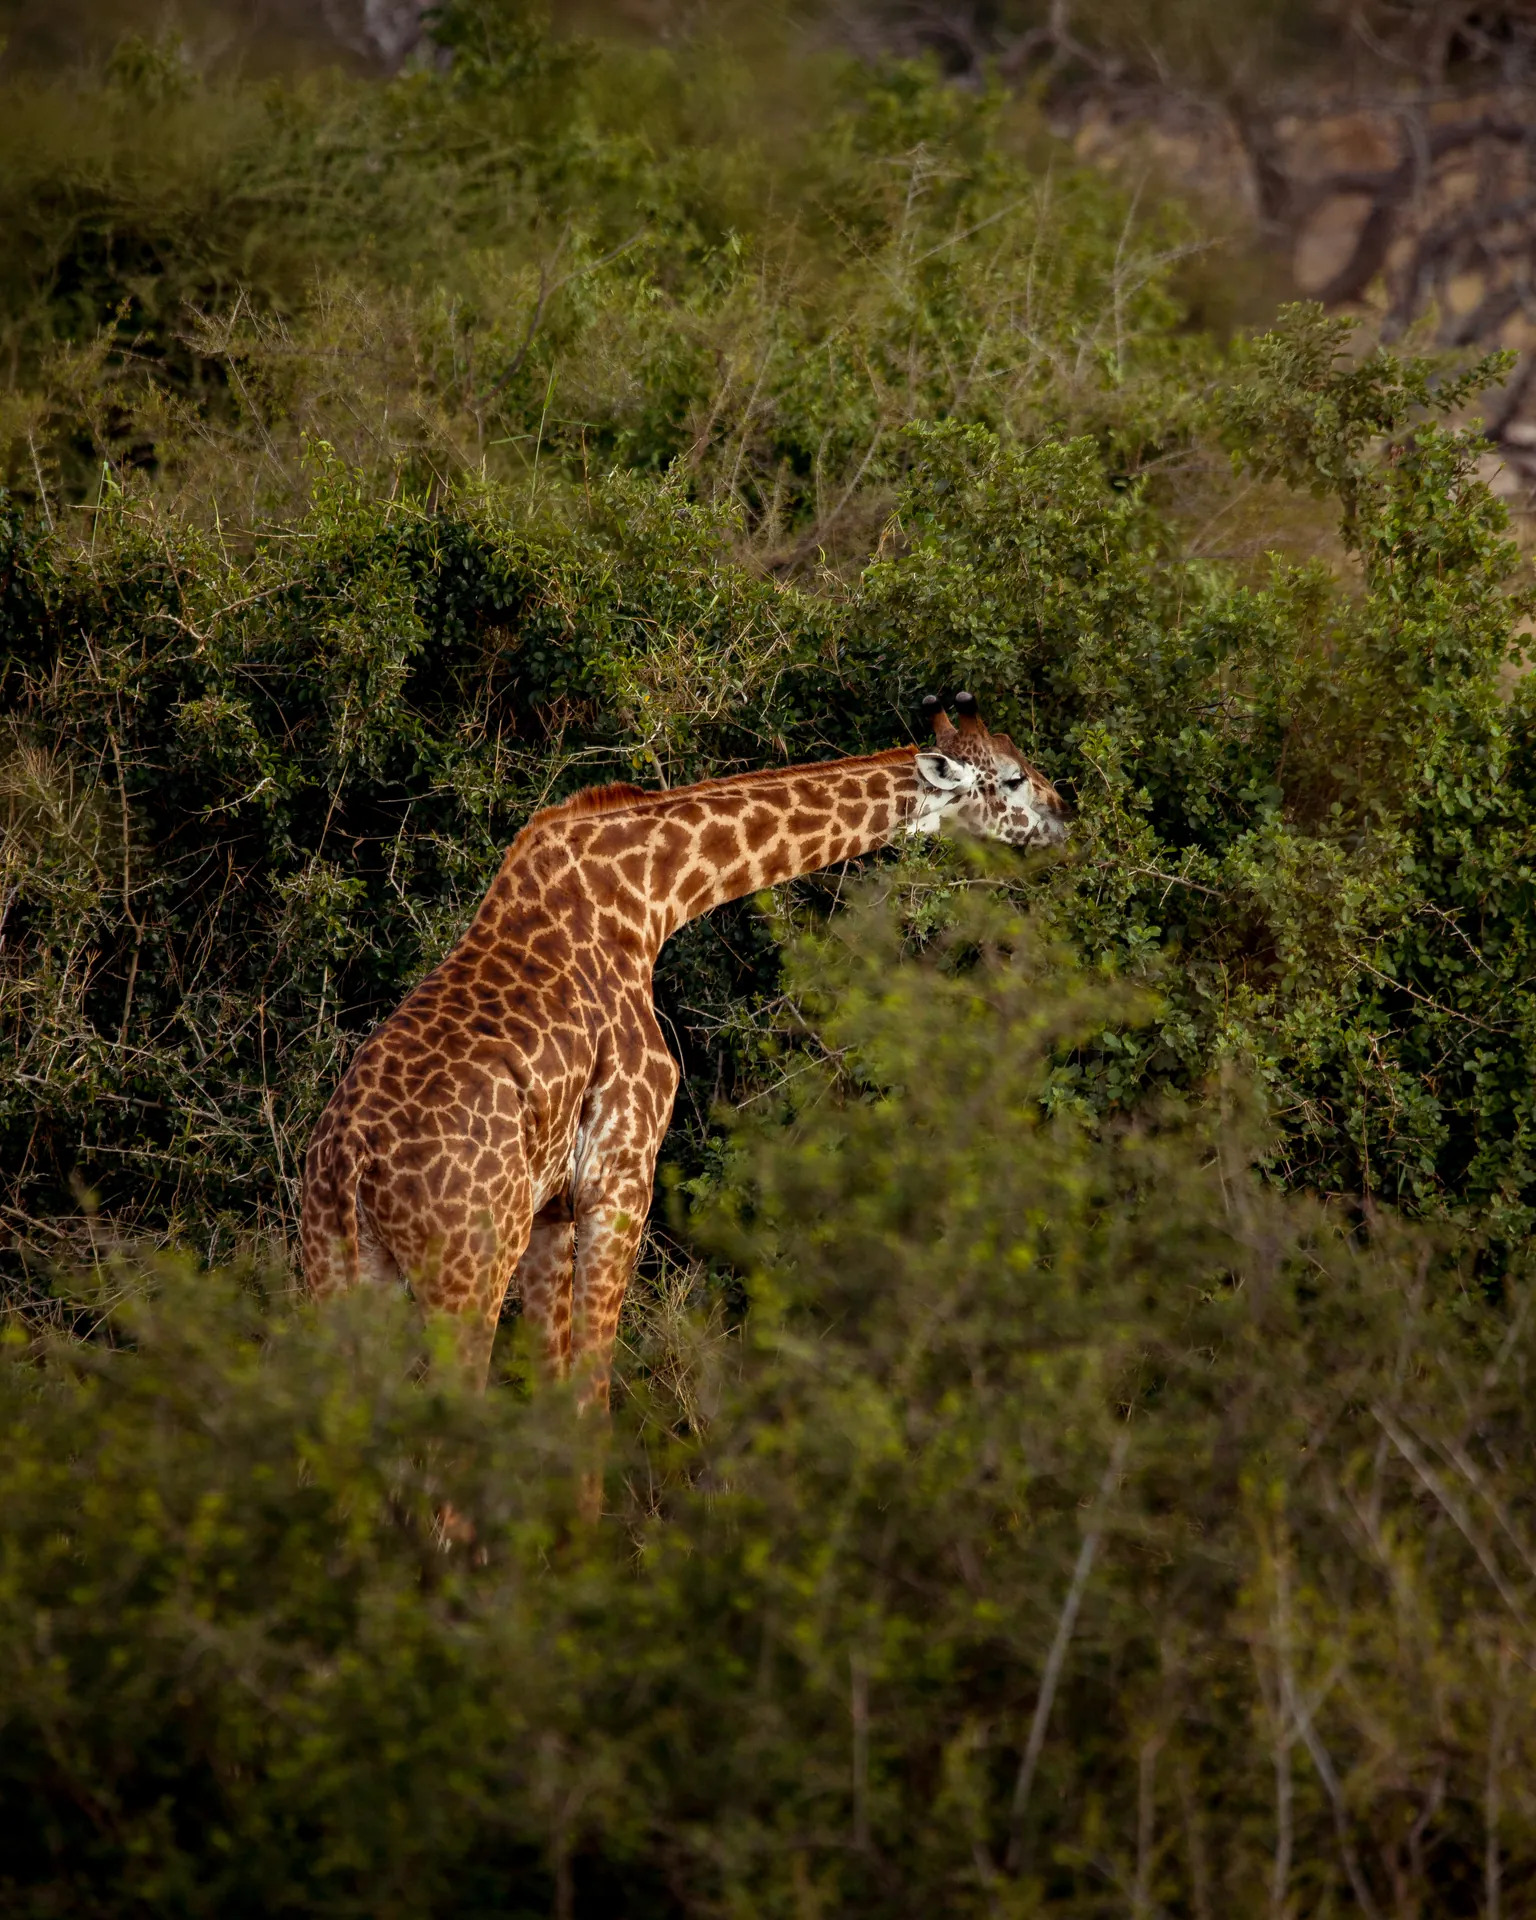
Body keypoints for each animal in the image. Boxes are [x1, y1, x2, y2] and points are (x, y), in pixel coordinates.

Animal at [299, 692, 1066, 1404]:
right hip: (466, 1269)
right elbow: (589, 1391)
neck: (650, 900)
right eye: (1014, 777)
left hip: (337, 1267)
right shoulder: (621, 1173)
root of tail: (352, 1162)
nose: (1064, 816)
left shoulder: (552, 1205)